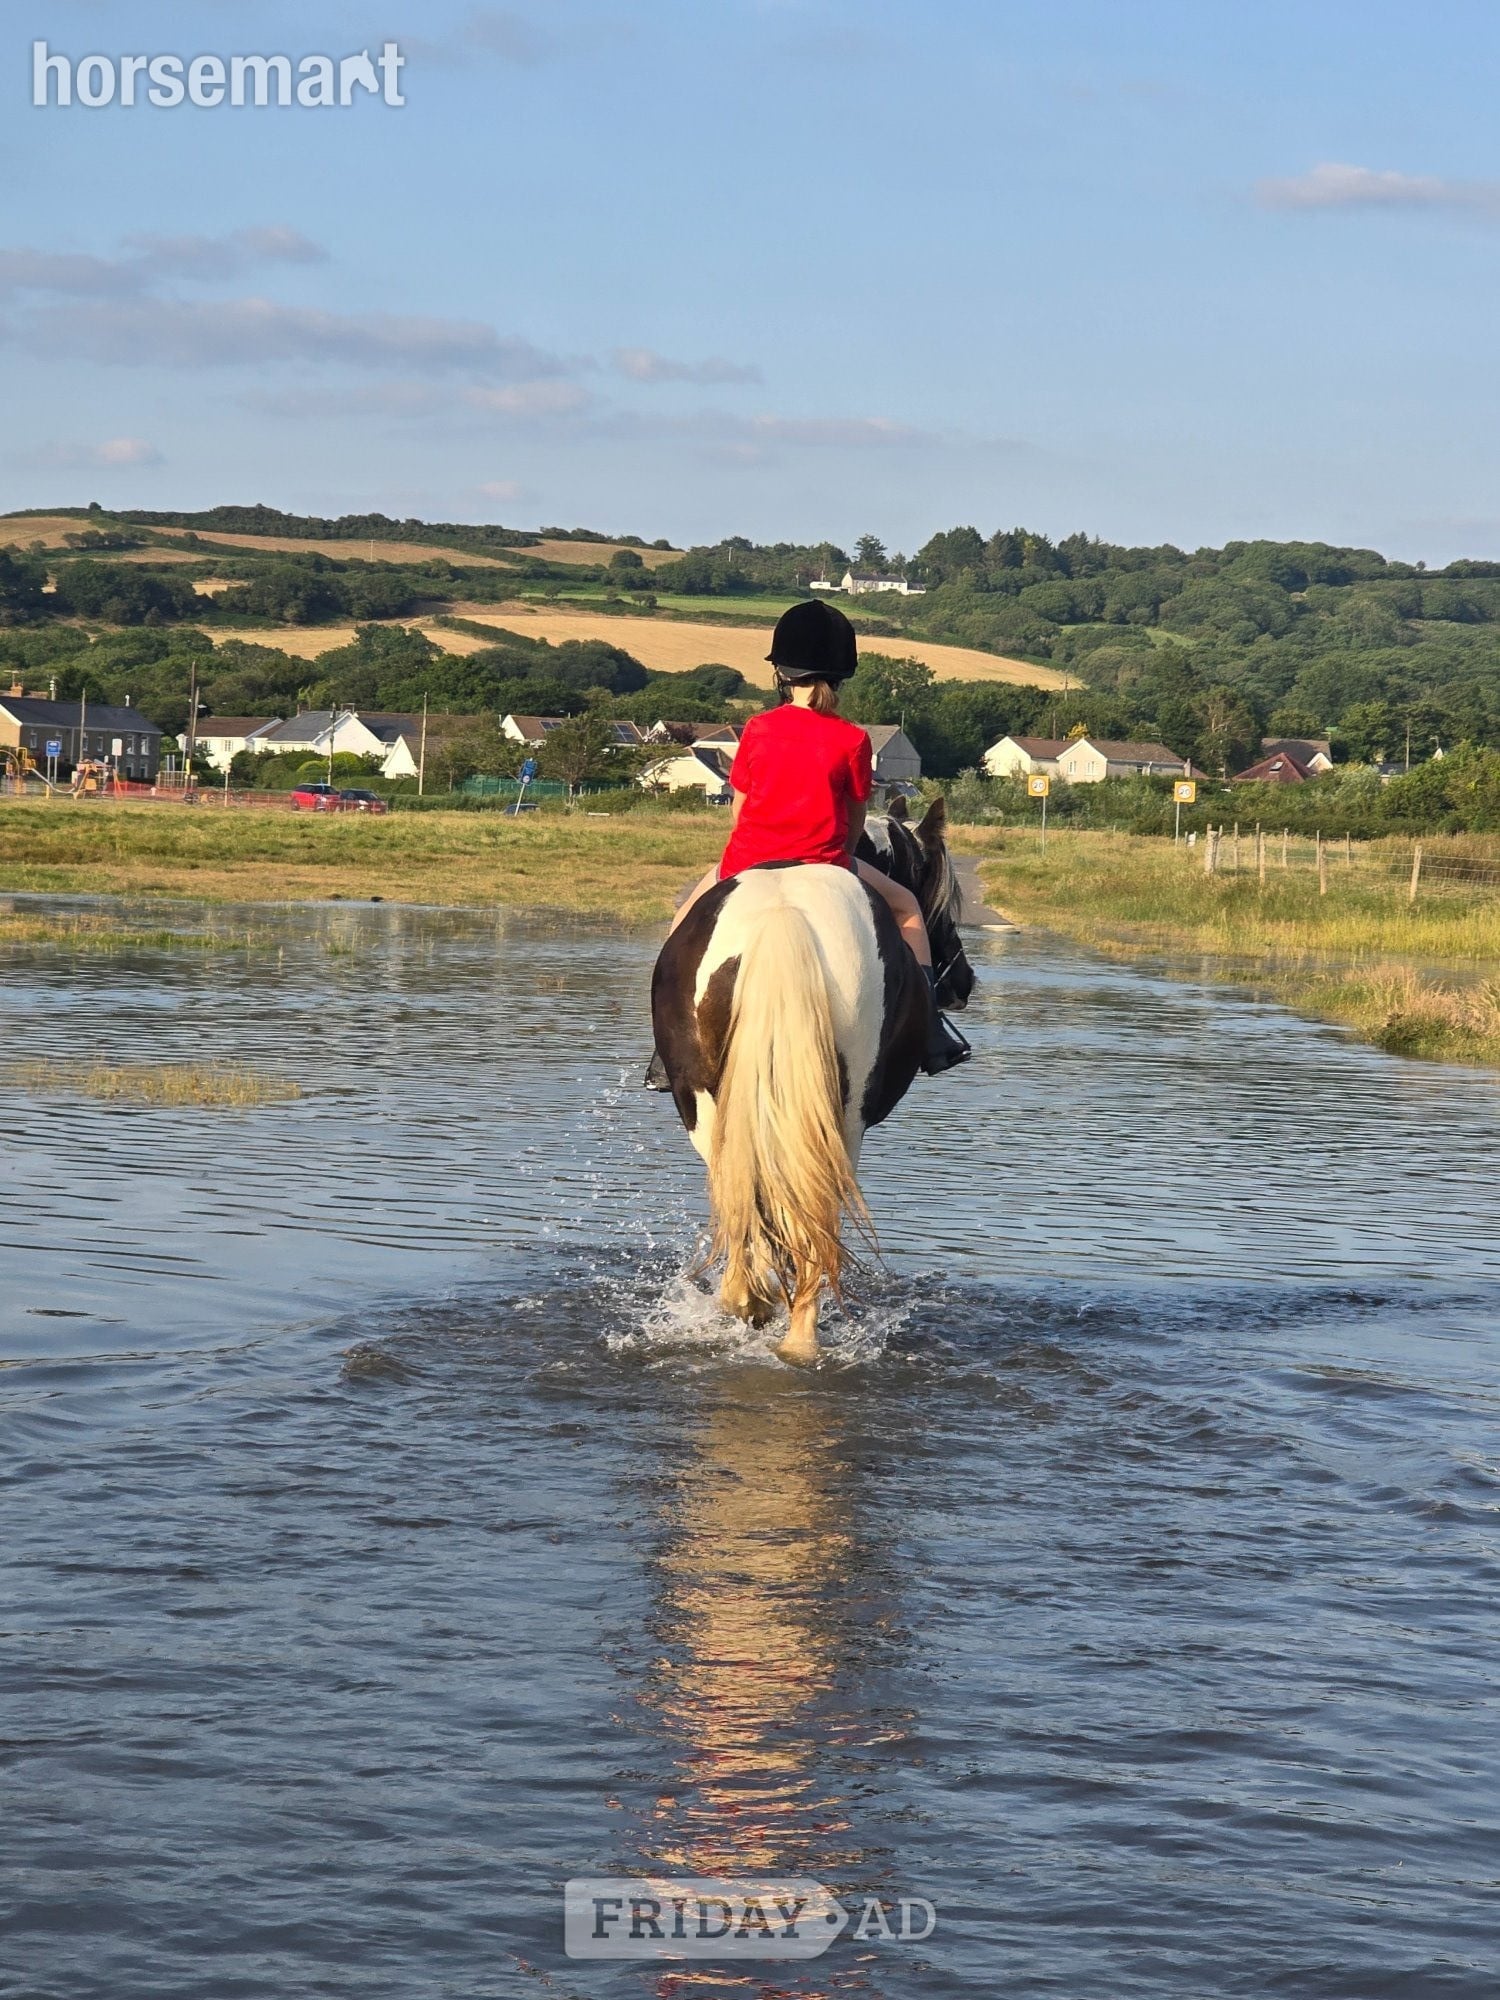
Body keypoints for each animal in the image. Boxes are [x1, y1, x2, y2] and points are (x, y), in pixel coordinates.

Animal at [650, 797, 975, 1367]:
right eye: (938, 896)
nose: (964, 982)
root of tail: (784, 915)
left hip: (709, 1108)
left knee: (745, 1196)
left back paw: (750, 1302)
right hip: (844, 1118)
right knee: (814, 1212)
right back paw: (799, 1338)